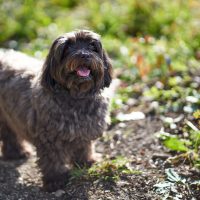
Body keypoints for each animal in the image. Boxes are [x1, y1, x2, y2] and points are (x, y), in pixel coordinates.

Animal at [0, 30, 112, 192]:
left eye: (92, 46)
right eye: (67, 48)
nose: (84, 55)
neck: (77, 96)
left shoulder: (85, 131)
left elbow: (84, 147)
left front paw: (86, 161)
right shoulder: (49, 139)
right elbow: (52, 160)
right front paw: (55, 180)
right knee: (8, 134)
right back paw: (15, 153)